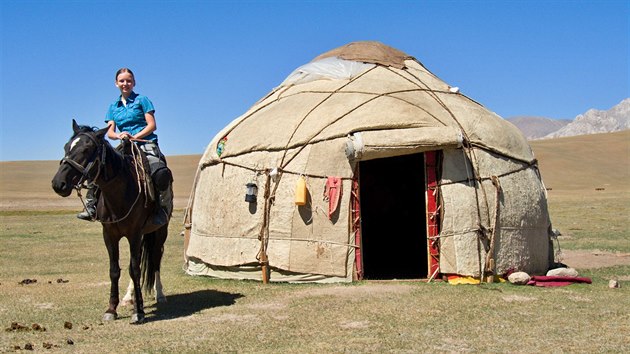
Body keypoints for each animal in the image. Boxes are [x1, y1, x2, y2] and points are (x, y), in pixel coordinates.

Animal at [52, 119, 170, 324]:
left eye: (87, 149)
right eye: (67, 146)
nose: (58, 184)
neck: (118, 194)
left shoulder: (134, 234)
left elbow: (135, 269)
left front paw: (138, 312)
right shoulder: (109, 234)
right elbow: (115, 270)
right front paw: (111, 309)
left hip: (159, 232)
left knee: (155, 259)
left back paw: (160, 294)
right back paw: (129, 297)